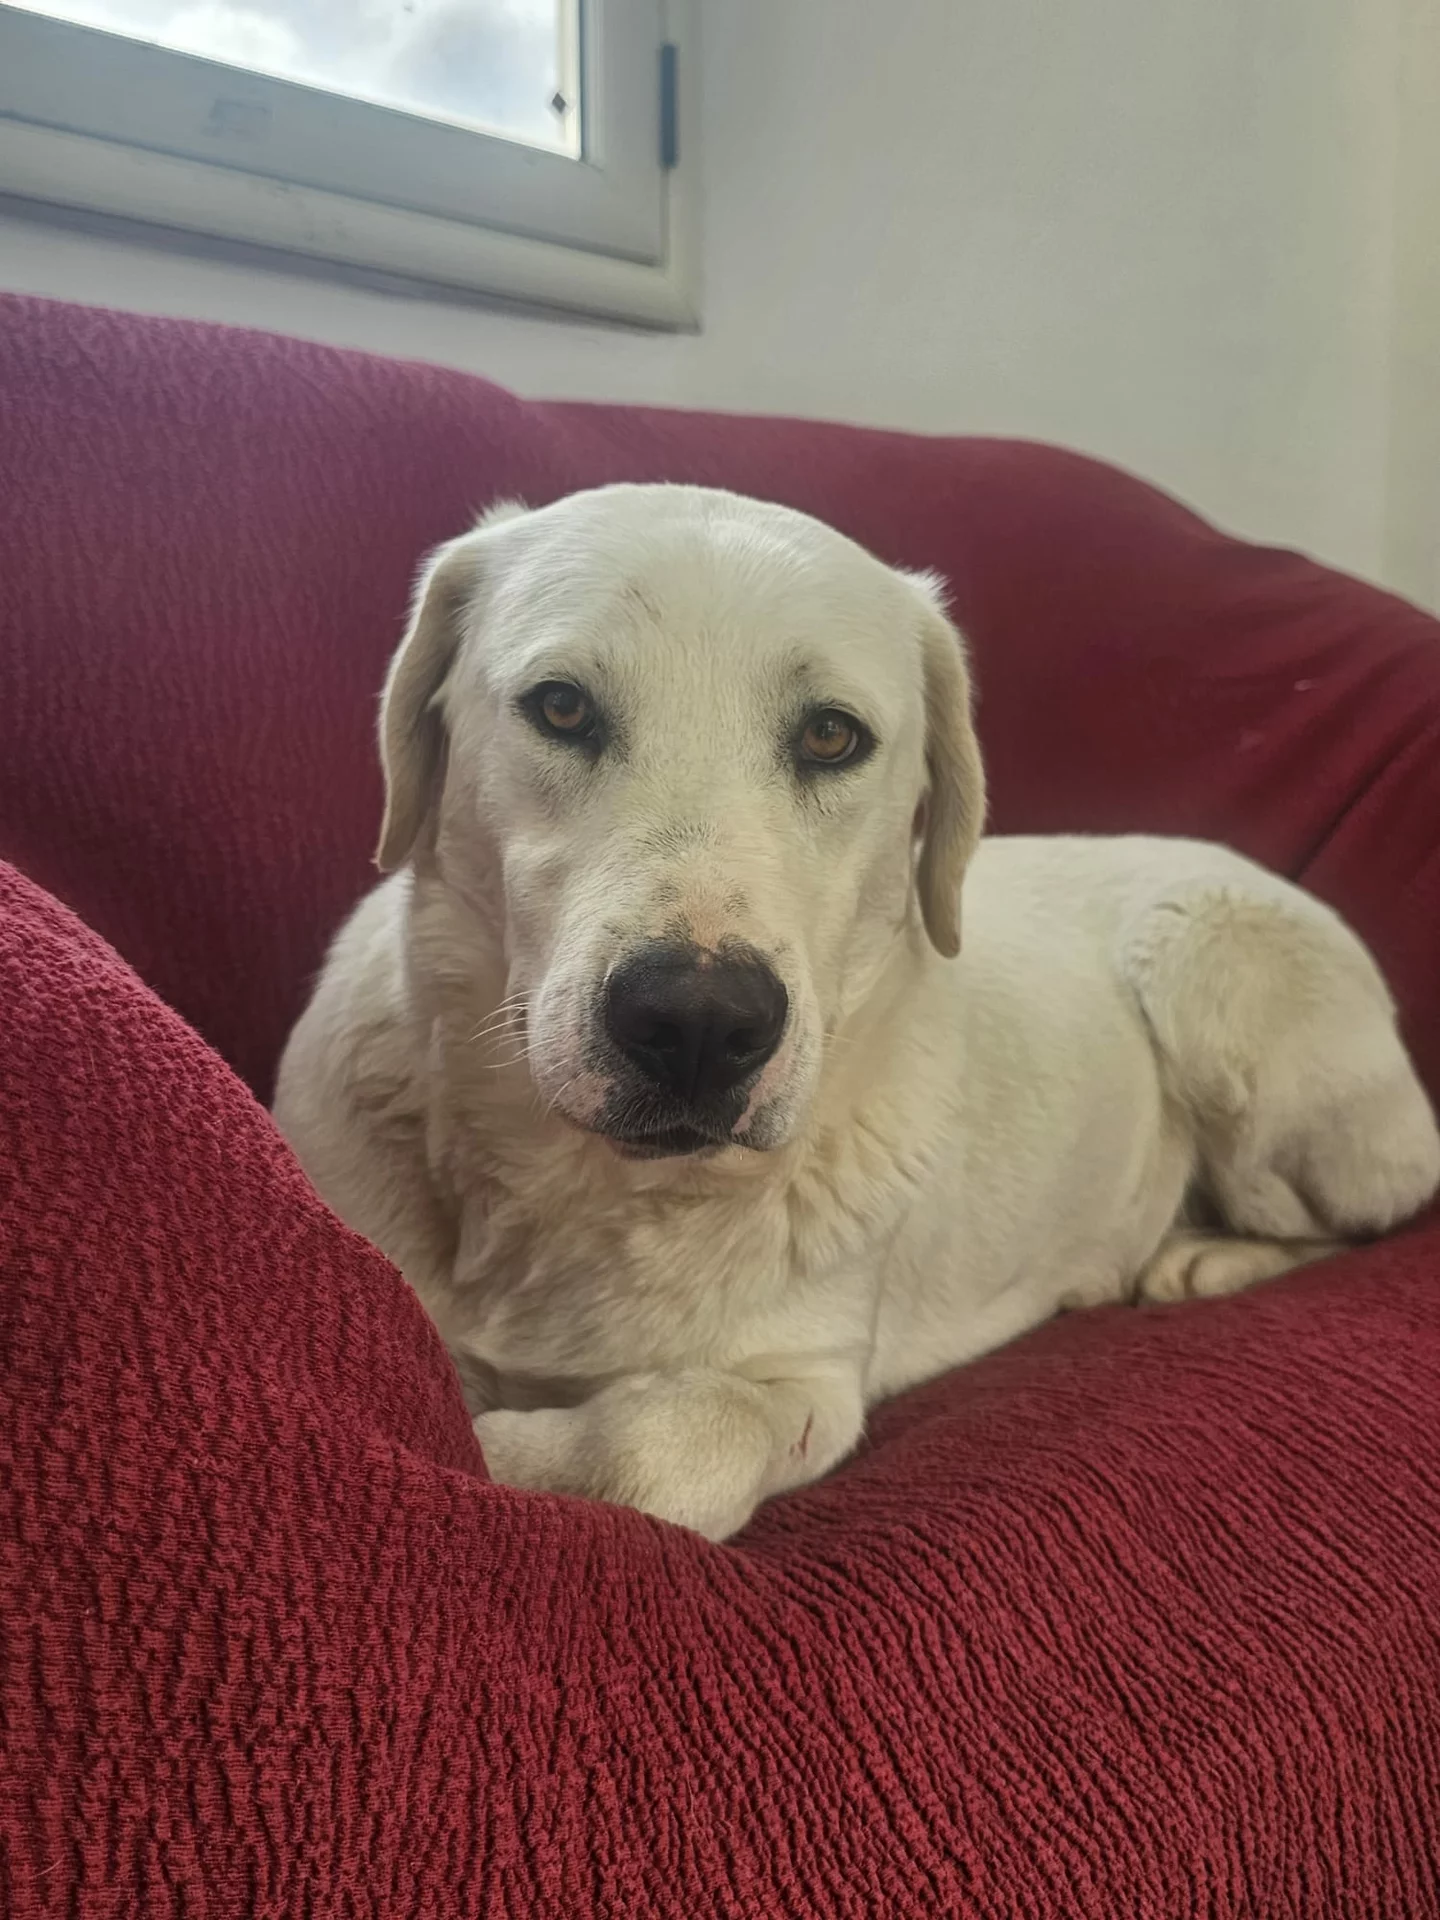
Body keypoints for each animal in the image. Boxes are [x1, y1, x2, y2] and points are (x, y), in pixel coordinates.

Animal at [273, 484, 1440, 1541]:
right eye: (561, 707)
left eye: (832, 737)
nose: (699, 1024)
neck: (589, 1196)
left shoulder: (811, 1383)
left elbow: (669, 1444)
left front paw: (502, 1450)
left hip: (1211, 975)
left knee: (1372, 1216)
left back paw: (1201, 1259)